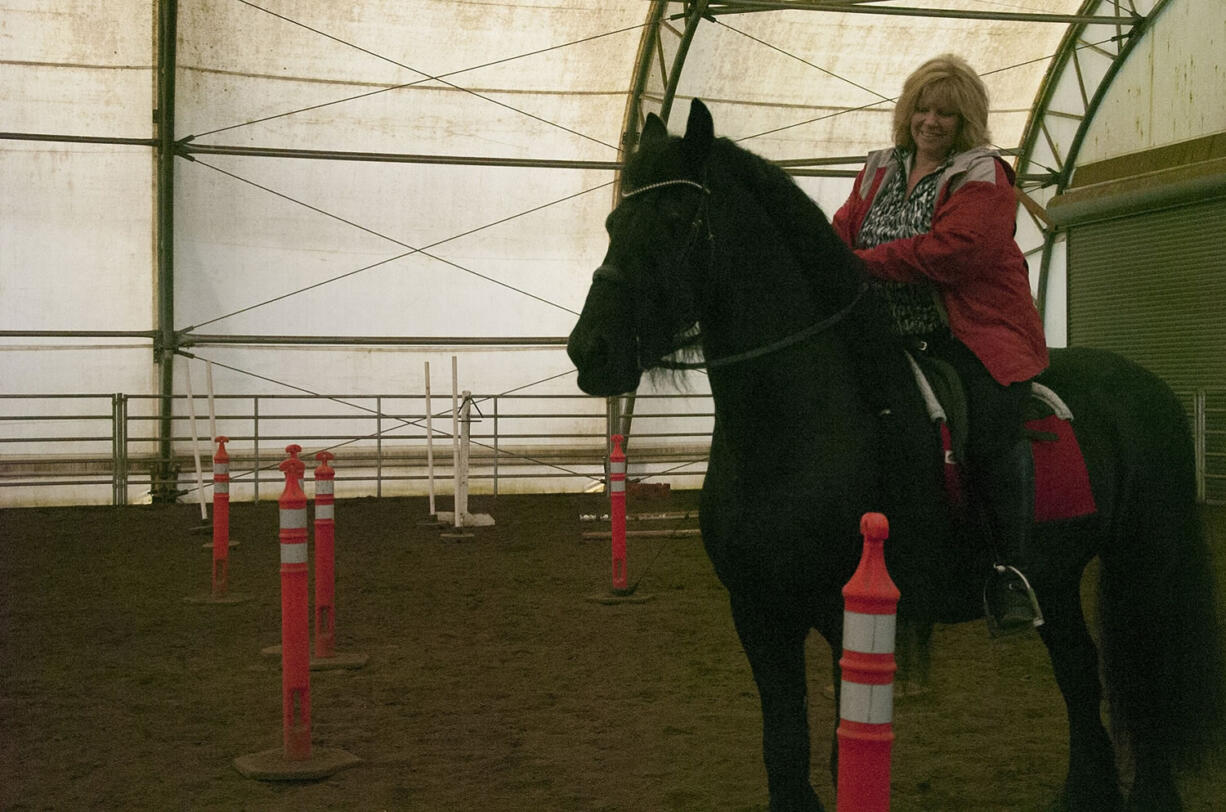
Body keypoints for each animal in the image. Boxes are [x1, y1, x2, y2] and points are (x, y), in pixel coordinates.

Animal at [568, 101, 1221, 812]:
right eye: (613, 223)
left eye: (677, 218)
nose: (589, 350)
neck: (799, 429)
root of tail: (1148, 385)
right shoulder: (759, 613)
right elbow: (784, 749)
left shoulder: (842, 614)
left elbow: (835, 752)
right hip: (1051, 575)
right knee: (1079, 670)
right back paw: (1084, 791)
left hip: (1146, 561)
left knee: (1150, 681)